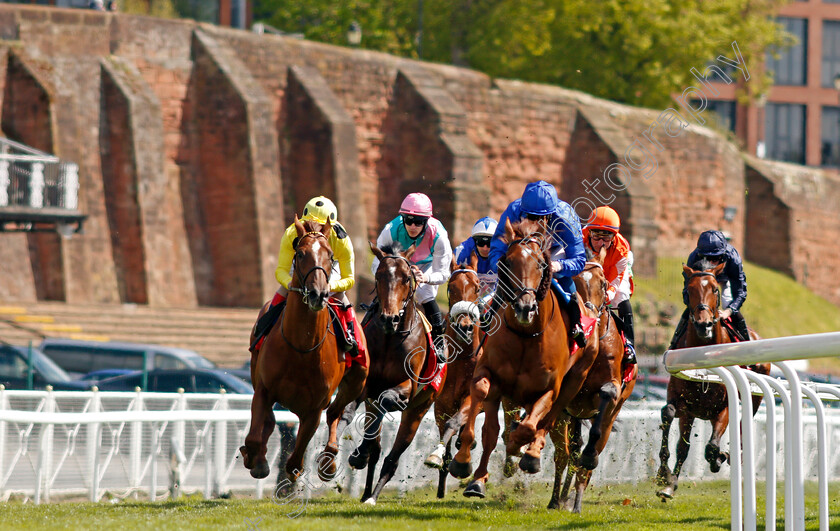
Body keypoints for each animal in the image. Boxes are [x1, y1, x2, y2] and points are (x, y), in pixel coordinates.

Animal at [238, 218, 366, 488]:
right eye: (300, 253)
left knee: (336, 414)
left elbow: (296, 459)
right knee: (270, 421)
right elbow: (256, 435)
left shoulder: (315, 407)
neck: (302, 348)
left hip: (357, 380)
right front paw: (255, 460)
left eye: (330, 255)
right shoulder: (263, 389)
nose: (318, 294)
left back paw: (329, 461)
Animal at [344, 243, 446, 504]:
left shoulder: (408, 389)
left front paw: (360, 452)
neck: (390, 339)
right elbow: (363, 408)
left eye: (406, 278)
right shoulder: (366, 384)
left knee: (393, 457)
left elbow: (387, 398)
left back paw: (373, 496)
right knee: (377, 447)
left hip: (419, 409)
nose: (389, 318)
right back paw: (366, 491)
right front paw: (358, 451)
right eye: (379, 276)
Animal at [450, 219, 600, 498]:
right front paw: (469, 470)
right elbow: (487, 425)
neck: (526, 335)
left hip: (575, 380)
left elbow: (530, 427)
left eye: (541, 264)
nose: (524, 307)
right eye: (508, 262)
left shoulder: (549, 389)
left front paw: (523, 449)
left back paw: (530, 454)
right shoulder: (491, 377)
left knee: (547, 421)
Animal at [548, 258, 640, 516]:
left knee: (586, 454)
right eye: (574, 282)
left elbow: (607, 394)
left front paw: (588, 459)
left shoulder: (612, 392)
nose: (588, 313)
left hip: (610, 413)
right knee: (565, 454)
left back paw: (576, 500)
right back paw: (557, 499)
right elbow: (567, 453)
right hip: (568, 417)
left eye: (603, 283)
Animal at [652, 264, 772, 500]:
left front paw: (718, 458)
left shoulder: (723, 409)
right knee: (683, 446)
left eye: (715, 289)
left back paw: (730, 455)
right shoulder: (684, 406)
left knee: (742, 427)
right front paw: (665, 477)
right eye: (688, 290)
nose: (704, 324)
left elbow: (711, 447)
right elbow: (672, 423)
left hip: (755, 396)